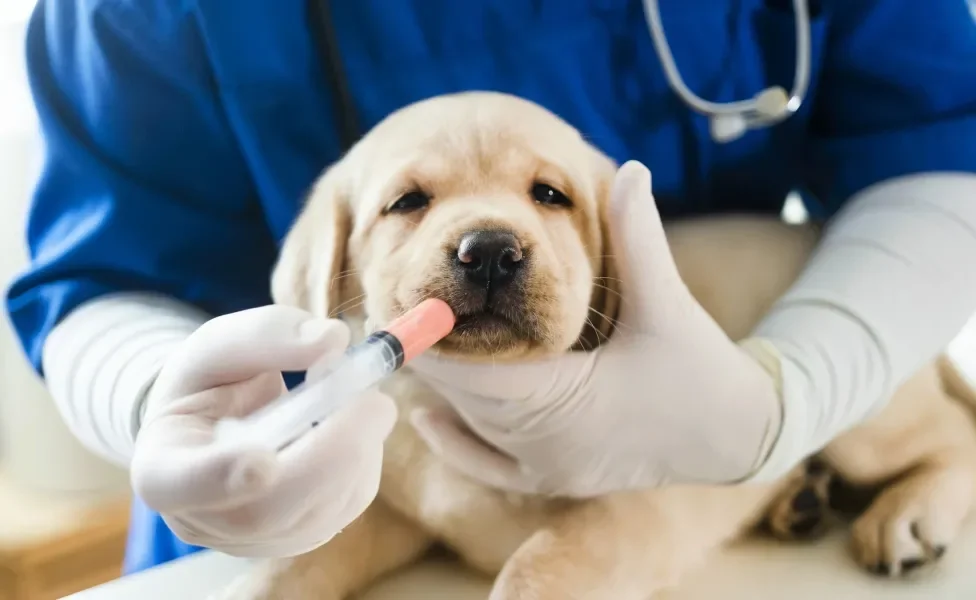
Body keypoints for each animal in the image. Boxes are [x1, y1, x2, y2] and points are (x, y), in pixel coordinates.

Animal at [217, 91, 976, 596]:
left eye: (550, 195)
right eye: (407, 203)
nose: (489, 250)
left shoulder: (640, 500)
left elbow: (539, 562)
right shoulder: (396, 510)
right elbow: (291, 561)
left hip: (871, 422)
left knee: (953, 434)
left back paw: (907, 514)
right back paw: (801, 500)